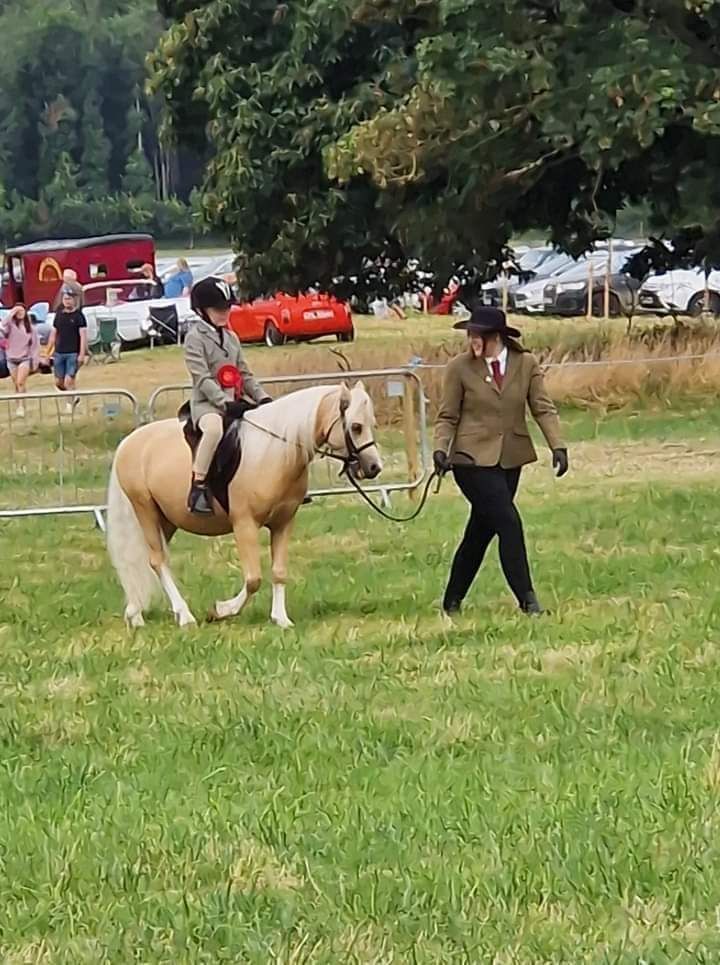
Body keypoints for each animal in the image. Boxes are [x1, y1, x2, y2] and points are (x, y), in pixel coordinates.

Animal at [105, 380, 382, 628]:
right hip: (145, 510)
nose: (374, 467)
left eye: (371, 424)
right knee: (157, 560)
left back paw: (135, 613)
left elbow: (279, 571)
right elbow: (253, 579)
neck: (273, 451)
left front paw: (281, 619)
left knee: (147, 558)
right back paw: (184, 616)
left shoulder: (283, 523)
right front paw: (221, 610)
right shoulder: (244, 524)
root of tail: (128, 443)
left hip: (167, 519)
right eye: (356, 427)